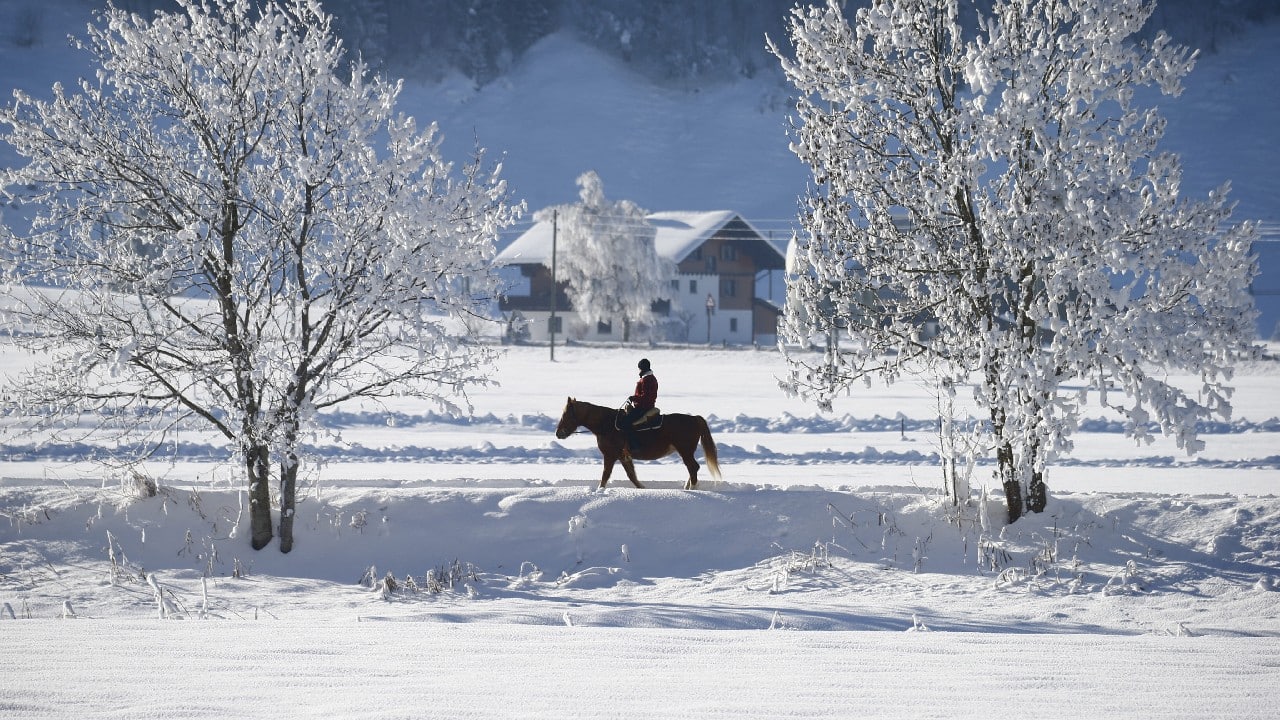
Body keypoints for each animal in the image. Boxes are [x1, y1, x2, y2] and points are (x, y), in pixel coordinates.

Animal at [555, 397, 721, 490]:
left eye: (566, 414)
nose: (558, 433)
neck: (607, 424)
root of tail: (695, 418)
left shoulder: (610, 455)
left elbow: (605, 475)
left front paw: (599, 490)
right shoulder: (623, 457)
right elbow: (632, 475)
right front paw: (642, 488)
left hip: (685, 450)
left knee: (693, 467)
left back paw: (692, 488)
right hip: (685, 451)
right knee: (692, 468)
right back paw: (688, 487)